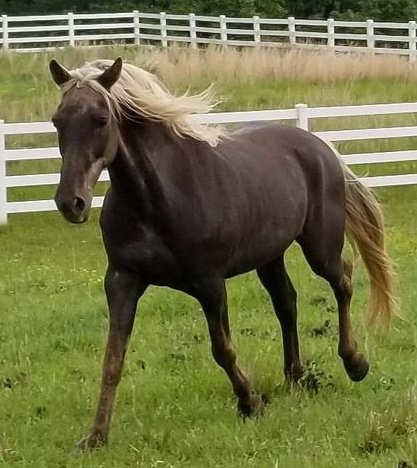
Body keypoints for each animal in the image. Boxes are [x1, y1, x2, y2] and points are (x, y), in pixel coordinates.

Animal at [48, 56, 394, 448]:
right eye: (58, 120)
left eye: (101, 119)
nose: (71, 203)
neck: (159, 197)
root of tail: (320, 147)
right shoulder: (122, 280)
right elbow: (112, 358)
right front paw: (95, 436)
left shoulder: (209, 283)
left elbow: (222, 349)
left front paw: (249, 402)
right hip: (269, 256)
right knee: (286, 302)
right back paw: (295, 377)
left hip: (320, 247)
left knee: (343, 282)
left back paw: (355, 363)